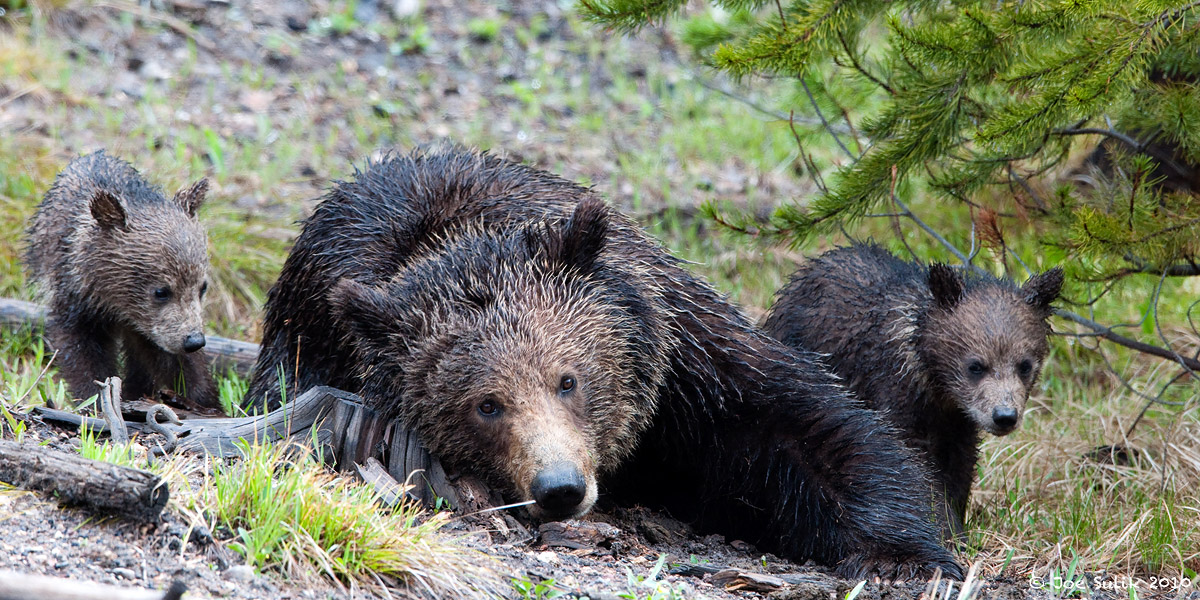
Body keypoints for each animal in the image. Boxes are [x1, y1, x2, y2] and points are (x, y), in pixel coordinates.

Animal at [24, 151, 218, 408]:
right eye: (161, 291)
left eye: (202, 287)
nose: (193, 340)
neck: (118, 306)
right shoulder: (77, 299)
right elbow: (81, 352)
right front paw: (96, 398)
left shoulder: (156, 328)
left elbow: (178, 364)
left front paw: (204, 401)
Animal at [245, 147, 964, 580]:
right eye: (486, 405)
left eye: (568, 380)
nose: (560, 487)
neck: (460, 238)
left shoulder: (686, 364)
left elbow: (808, 427)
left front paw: (904, 557)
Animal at [762, 243, 1063, 539]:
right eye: (976, 365)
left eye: (1025, 365)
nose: (1004, 416)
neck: (935, 386)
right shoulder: (894, 401)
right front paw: (944, 528)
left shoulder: (959, 422)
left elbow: (960, 467)